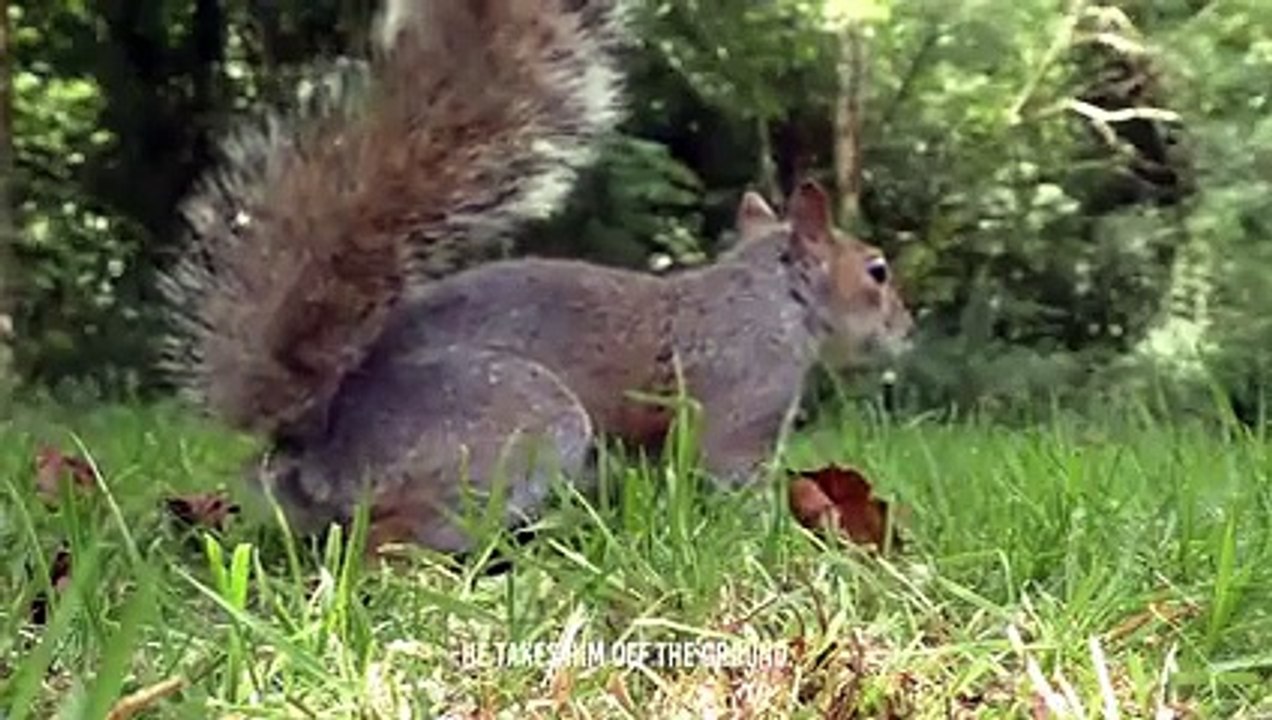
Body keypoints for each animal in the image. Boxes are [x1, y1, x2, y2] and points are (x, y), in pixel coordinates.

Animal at [160, 0, 914, 554]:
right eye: (876, 271)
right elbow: (730, 474)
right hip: (524, 424)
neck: (771, 295)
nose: (908, 331)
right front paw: (779, 536)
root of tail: (318, 452)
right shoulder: (744, 396)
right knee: (394, 536)